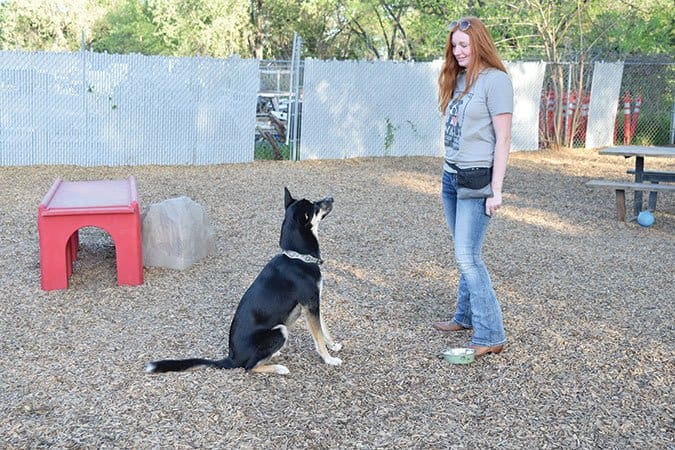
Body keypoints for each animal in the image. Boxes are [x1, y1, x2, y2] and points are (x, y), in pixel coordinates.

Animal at [145, 188, 340, 374]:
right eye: (315, 206)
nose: (331, 197)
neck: (298, 257)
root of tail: (232, 358)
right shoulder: (310, 303)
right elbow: (318, 336)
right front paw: (329, 359)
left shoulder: (314, 302)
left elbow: (324, 328)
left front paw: (333, 345)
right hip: (279, 331)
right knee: (249, 367)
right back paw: (278, 368)